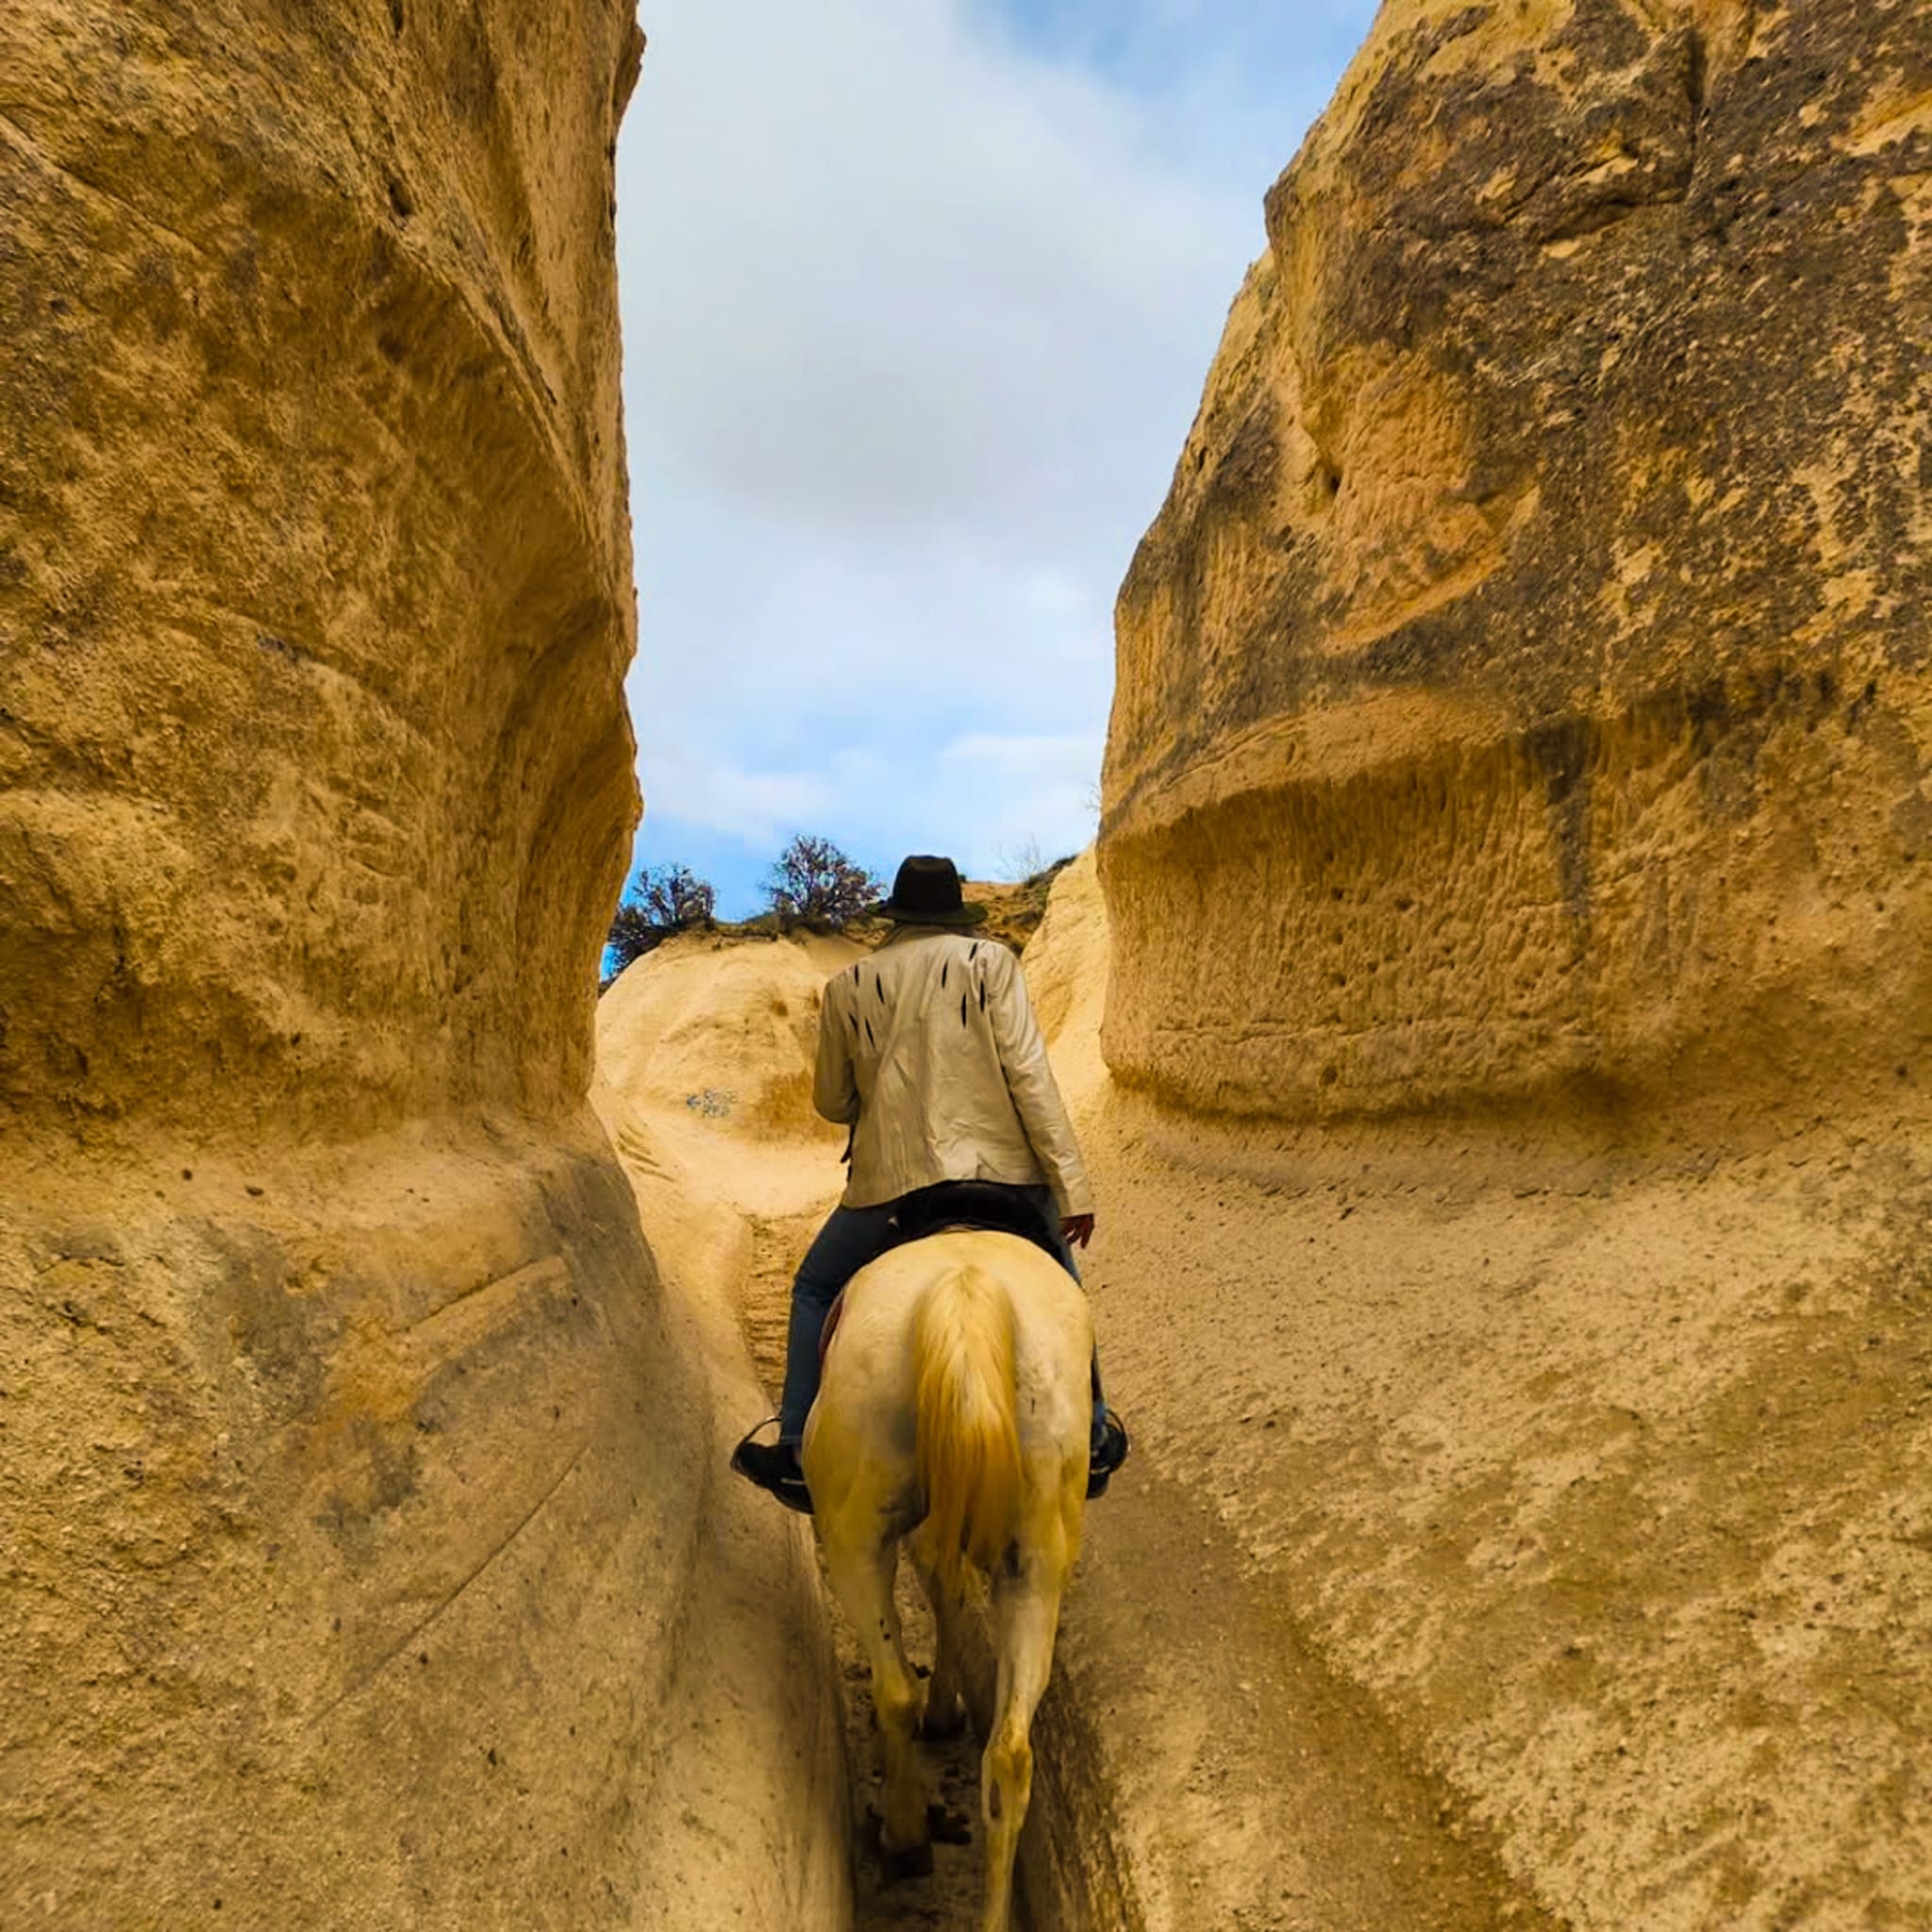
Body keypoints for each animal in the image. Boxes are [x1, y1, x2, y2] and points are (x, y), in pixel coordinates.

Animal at [801, 1222, 1091, 1932]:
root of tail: (964, 1288)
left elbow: (937, 1593)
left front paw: (938, 1716)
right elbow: (950, 1591)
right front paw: (950, 1709)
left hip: (854, 1537)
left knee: (894, 1689)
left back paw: (904, 1836)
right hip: (1038, 1552)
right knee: (1010, 1754)